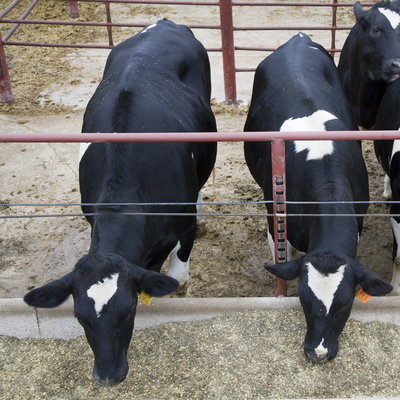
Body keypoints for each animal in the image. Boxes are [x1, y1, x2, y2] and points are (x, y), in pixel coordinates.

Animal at [23, 20, 217, 386]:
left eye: (128, 312)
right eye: (79, 317)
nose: (108, 375)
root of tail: (164, 23)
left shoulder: (181, 228)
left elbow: (177, 275)